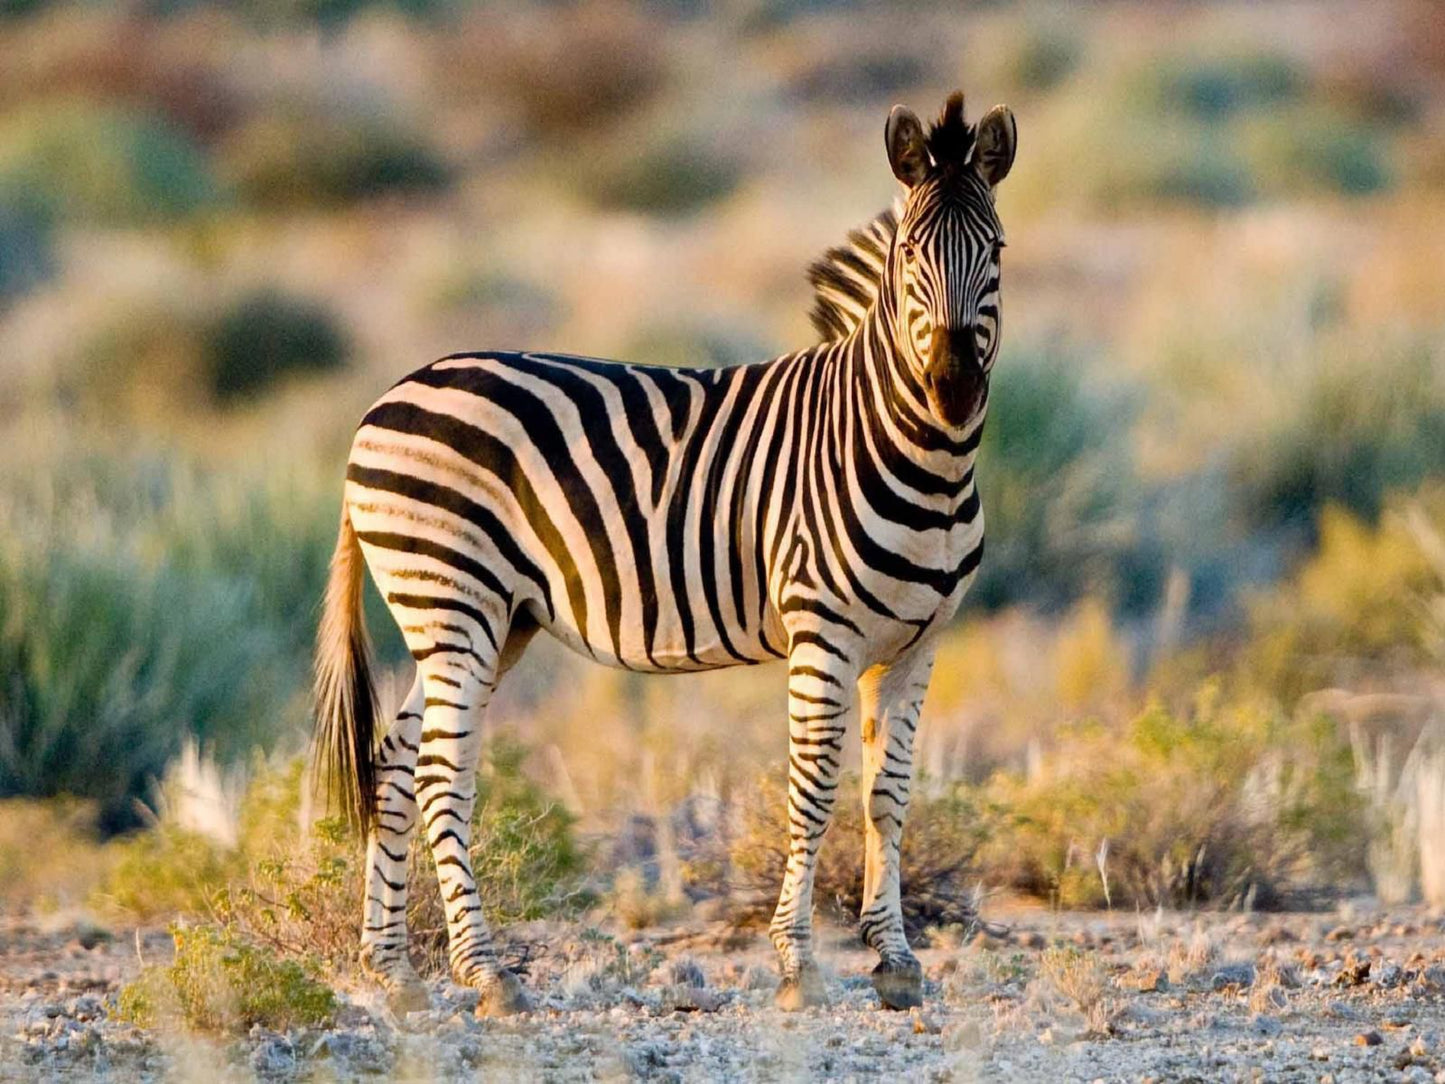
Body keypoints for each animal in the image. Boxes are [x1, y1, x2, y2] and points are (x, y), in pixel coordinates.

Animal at [316, 93, 1017, 1017]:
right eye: (909, 254)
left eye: (997, 250)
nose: (952, 388)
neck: (919, 457)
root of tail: (382, 400)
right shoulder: (821, 636)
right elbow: (812, 792)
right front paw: (796, 964)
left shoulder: (916, 644)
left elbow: (887, 797)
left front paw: (895, 960)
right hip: (453, 603)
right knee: (439, 775)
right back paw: (486, 973)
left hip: (493, 621)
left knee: (395, 764)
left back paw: (393, 972)